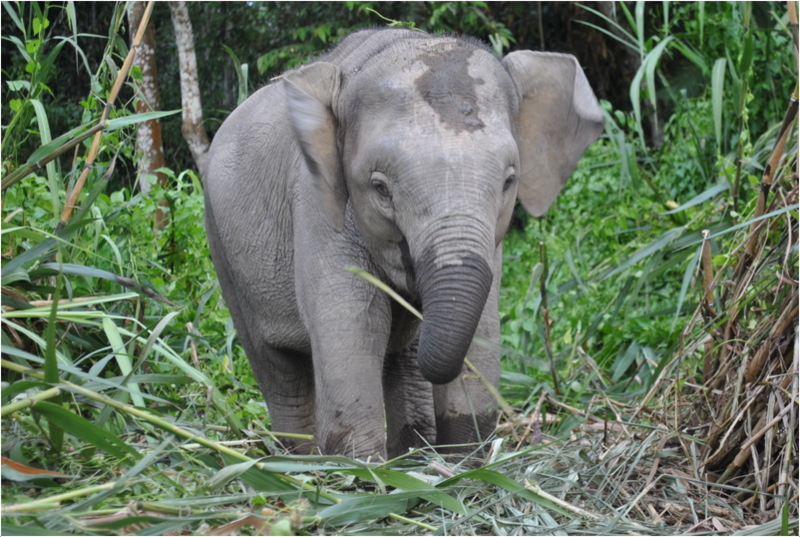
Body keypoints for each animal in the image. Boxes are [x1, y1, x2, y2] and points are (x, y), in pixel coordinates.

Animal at [203, 27, 604, 458]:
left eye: (509, 181)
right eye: (381, 188)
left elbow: (482, 325)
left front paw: (464, 462)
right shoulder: (316, 203)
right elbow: (355, 323)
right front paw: (361, 468)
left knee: (401, 358)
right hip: (223, 249)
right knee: (278, 366)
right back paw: (299, 461)